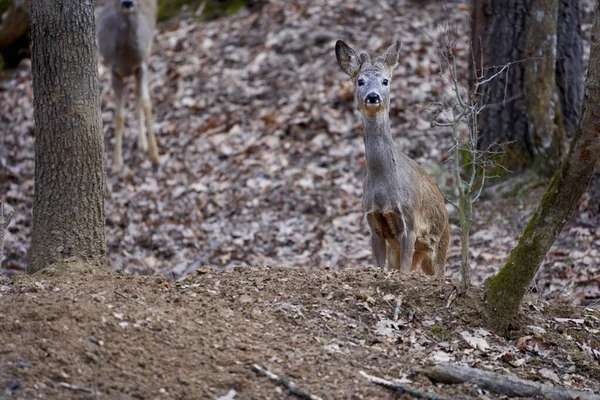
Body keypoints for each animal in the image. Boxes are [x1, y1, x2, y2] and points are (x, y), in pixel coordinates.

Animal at [95, 0, 158, 172]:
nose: (127, 2)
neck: (127, 57)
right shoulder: (115, 71)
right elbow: (119, 115)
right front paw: (117, 163)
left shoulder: (142, 65)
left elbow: (146, 103)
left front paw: (155, 156)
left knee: (139, 97)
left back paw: (144, 144)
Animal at [336, 40, 448, 276]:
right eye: (360, 81)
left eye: (385, 81)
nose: (373, 96)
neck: (383, 187)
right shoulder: (373, 222)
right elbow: (379, 265)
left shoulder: (410, 221)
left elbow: (404, 270)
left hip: (441, 242)